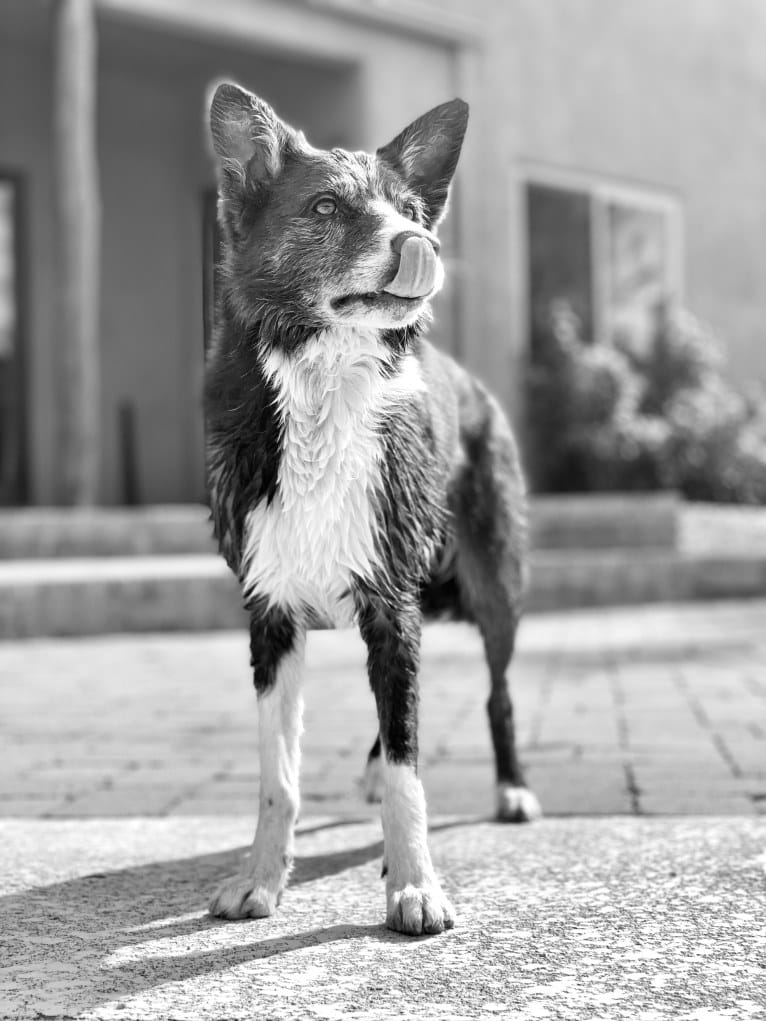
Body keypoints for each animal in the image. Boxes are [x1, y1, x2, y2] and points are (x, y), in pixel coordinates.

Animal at [204, 83, 539, 935]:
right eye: (325, 206)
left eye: (411, 209)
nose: (420, 240)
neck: (326, 381)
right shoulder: (271, 614)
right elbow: (279, 775)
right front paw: (260, 881)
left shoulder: (393, 605)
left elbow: (408, 767)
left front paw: (414, 885)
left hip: (496, 586)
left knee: (496, 692)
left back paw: (511, 788)